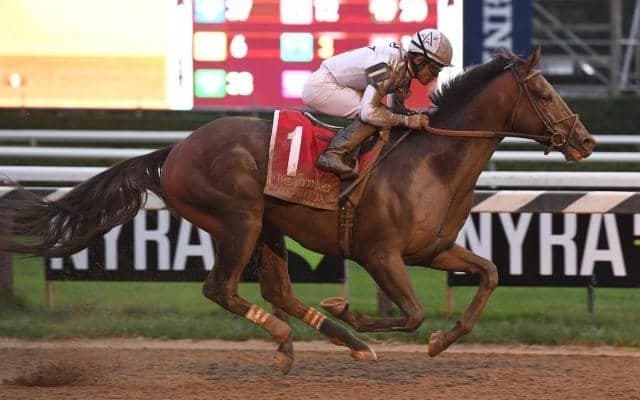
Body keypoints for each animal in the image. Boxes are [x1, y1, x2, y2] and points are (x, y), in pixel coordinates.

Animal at [0, 48, 594, 374]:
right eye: (545, 91)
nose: (585, 141)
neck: (432, 162)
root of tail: (174, 151)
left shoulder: (434, 250)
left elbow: (489, 275)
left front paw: (441, 341)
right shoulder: (381, 255)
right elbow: (411, 313)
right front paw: (350, 308)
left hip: (268, 225)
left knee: (276, 291)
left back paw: (343, 344)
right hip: (237, 220)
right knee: (222, 288)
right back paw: (298, 337)